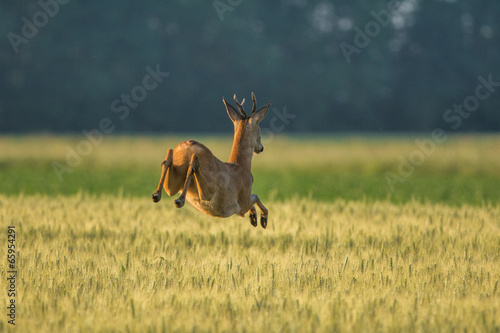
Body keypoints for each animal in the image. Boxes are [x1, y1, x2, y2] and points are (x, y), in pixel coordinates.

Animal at [150, 92, 272, 227]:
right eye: (260, 129)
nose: (261, 148)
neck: (242, 165)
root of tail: (187, 146)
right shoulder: (242, 203)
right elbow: (255, 196)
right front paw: (260, 219)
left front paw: (254, 217)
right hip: (208, 192)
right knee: (193, 167)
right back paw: (179, 200)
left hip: (174, 183)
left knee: (168, 162)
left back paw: (156, 194)